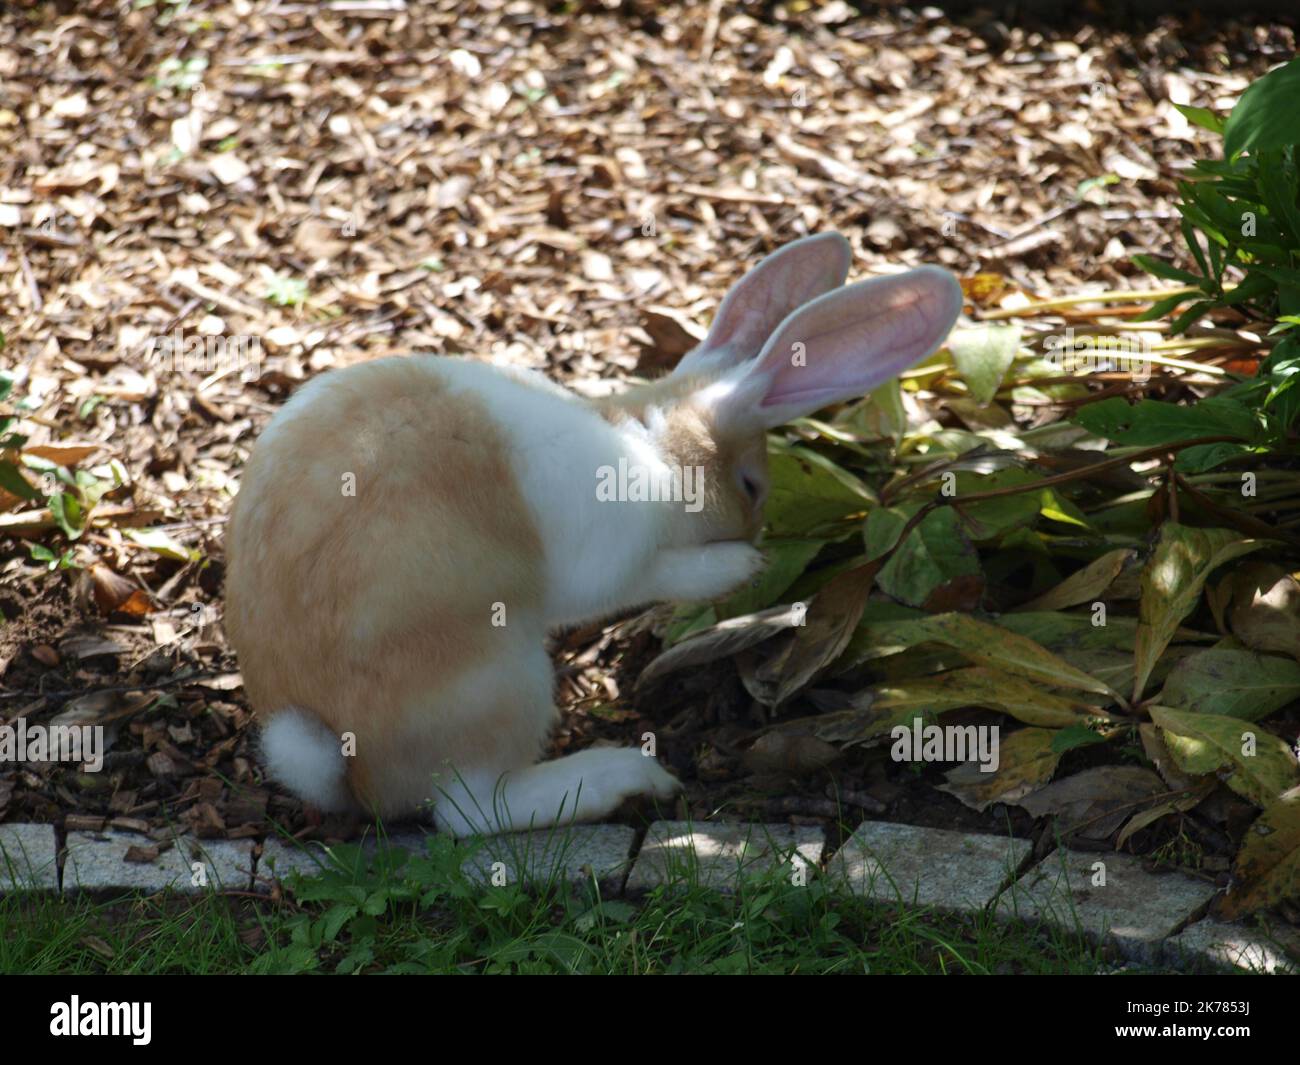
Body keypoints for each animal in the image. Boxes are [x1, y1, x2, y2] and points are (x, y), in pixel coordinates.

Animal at [223, 231, 961, 832]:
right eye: (752, 484)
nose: (754, 531)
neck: (651, 440)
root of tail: (348, 770)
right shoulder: (616, 557)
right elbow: (654, 575)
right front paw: (738, 567)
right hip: (500, 679)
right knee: (472, 811)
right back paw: (626, 778)